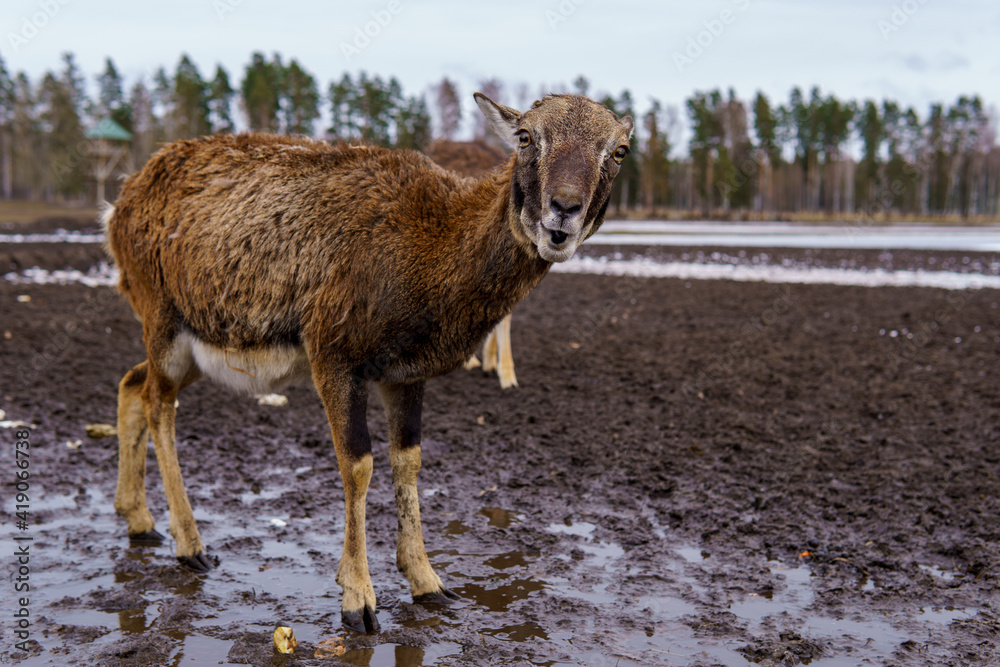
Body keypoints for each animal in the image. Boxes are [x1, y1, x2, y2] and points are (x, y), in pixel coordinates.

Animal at [105, 92, 633, 633]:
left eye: (619, 150)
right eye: (525, 136)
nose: (563, 211)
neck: (433, 252)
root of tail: (119, 205)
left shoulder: (406, 373)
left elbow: (408, 460)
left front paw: (429, 582)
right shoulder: (334, 354)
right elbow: (358, 464)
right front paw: (358, 600)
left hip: (198, 346)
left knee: (131, 383)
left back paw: (138, 520)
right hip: (162, 318)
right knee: (158, 404)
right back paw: (190, 546)